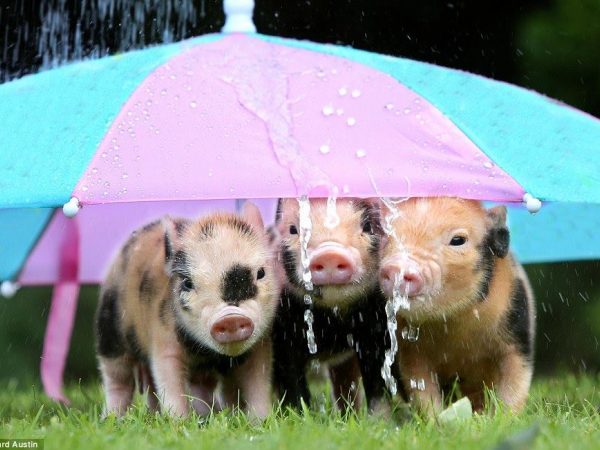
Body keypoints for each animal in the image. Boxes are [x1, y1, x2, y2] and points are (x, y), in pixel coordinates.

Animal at [95, 202, 279, 419]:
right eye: (187, 283)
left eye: (261, 273)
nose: (230, 318)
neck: (208, 353)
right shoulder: (163, 337)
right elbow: (169, 380)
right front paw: (178, 421)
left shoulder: (260, 346)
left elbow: (257, 383)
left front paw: (261, 420)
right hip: (110, 333)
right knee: (117, 380)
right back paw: (112, 418)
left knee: (197, 386)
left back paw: (203, 415)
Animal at [272, 198, 397, 413]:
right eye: (293, 229)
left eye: (367, 226)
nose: (329, 254)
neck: (332, 327)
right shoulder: (281, 339)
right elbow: (293, 389)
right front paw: (299, 415)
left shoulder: (377, 330)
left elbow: (377, 384)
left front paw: (380, 418)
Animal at [378, 197, 535, 416]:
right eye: (388, 237)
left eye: (458, 240)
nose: (396, 267)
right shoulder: (410, 351)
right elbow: (421, 388)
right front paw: (436, 421)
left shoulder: (517, 331)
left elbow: (515, 381)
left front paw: (502, 418)